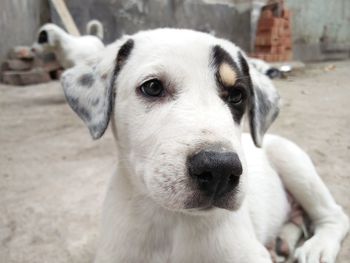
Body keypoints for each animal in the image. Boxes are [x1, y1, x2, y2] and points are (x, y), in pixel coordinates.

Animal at [60, 28, 348, 263]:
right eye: (152, 87)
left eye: (237, 96)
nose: (220, 169)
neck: (172, 222)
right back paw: (282, 241)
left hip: (293, 161)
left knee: (334, 215)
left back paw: (317, 247)